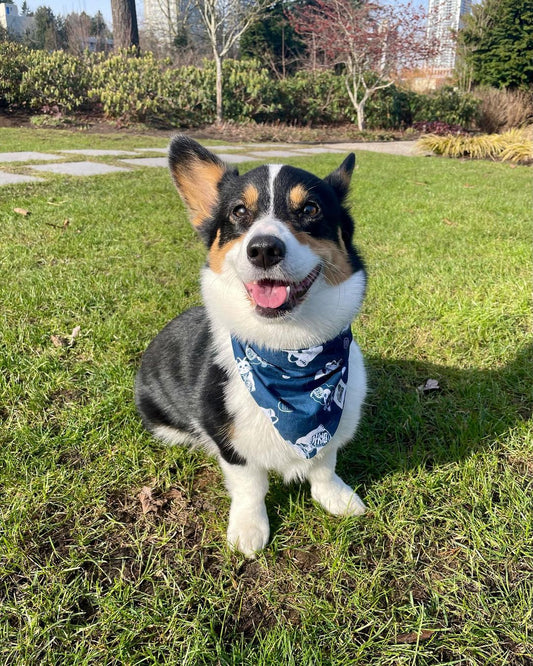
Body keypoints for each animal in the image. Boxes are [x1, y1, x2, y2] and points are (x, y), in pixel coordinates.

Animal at [134, 137, 366, 556]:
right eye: (239, 211)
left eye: (310, 209)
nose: (263, 249)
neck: (284, 350)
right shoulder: (231, 443)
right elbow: (249, 486)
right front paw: (248, 530)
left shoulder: (330, 432)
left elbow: (325, 465)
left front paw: (336, 498)